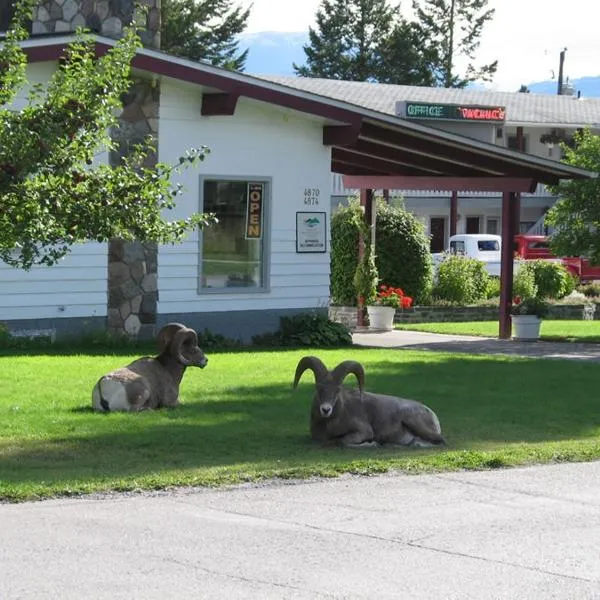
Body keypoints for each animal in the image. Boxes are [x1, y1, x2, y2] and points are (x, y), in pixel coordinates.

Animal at [292, 354, 442, 448]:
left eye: (338, 389)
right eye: (318, 388)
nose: (325, 410)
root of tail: (432, 415)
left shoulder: (364, 431)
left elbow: (342, 441)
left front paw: (372, 444)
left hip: (412, 419)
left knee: (440, 441)